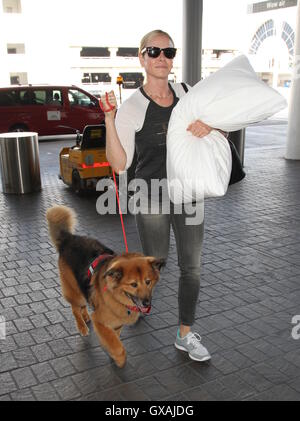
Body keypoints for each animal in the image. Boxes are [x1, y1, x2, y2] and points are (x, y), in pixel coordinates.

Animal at [46, 205, 165, 366]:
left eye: (148, 281)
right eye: (133, 284)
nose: (147, 303)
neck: (116, 296)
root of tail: (68, 238)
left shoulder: (117, 322)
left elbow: (115, 335)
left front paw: (112, 352)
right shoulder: (100, 320)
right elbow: (114, 342)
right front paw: (118, 357)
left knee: (84, 303)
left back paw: (86, 316)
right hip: (75, 291)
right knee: (75, 308)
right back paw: (82, 326)